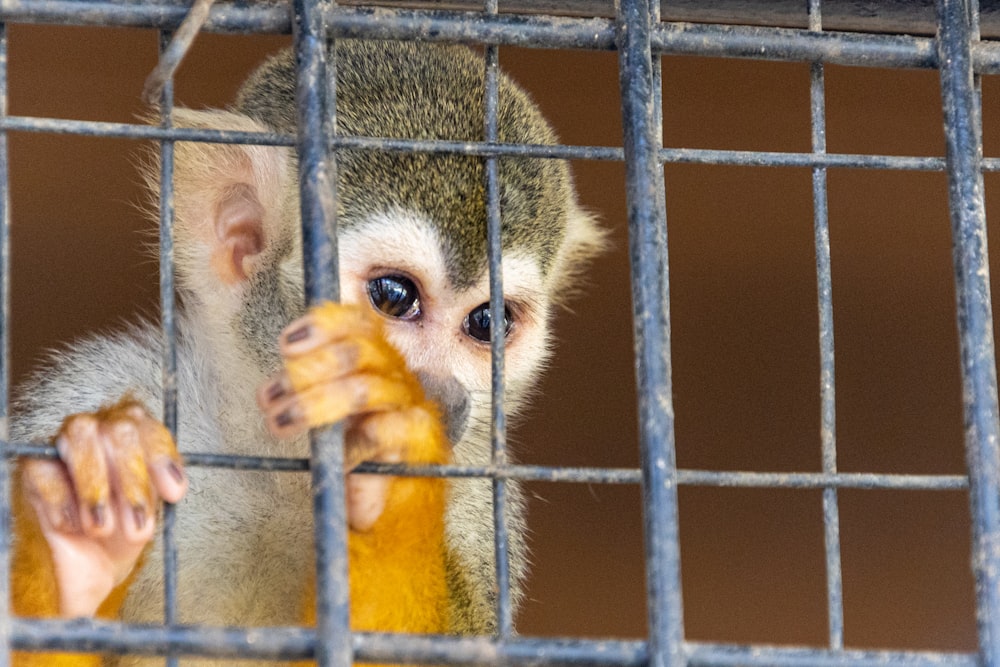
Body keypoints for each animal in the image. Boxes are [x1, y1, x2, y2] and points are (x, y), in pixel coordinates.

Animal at [5, 39, 600, 664]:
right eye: (394, 296)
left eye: (488, 322)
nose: (443, 399)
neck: (276, 454)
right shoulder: (93, 387)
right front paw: (78, 547)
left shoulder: (479, 497)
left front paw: (394, 474)